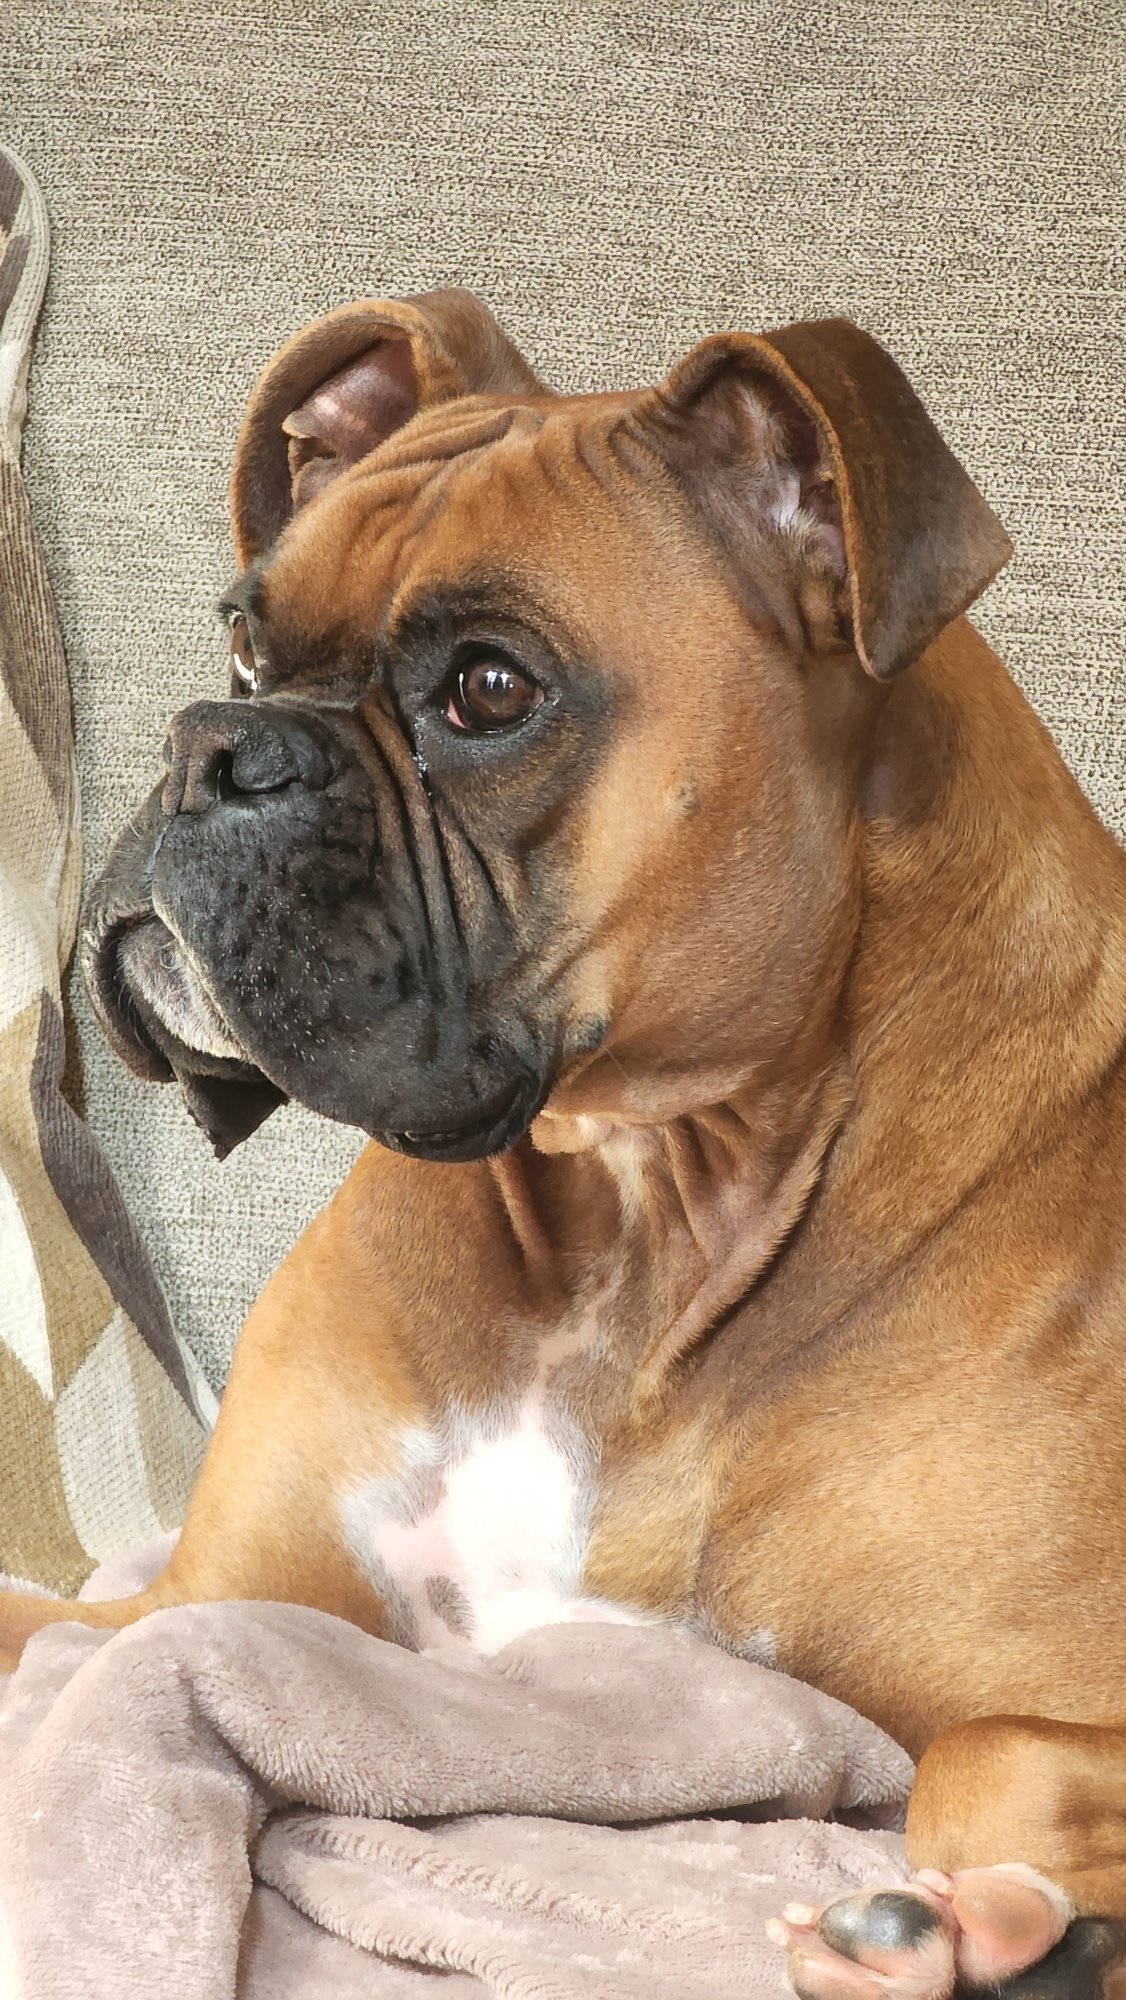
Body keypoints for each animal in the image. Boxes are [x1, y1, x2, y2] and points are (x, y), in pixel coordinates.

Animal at [3, 289, 1126, 1998]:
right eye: (242, 640)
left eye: (486, 690)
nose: (210, 742)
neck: (639, 1214)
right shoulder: (190, 1610)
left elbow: (984, 1752)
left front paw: (981, 1927)